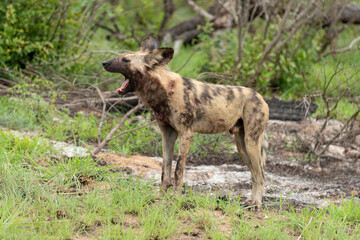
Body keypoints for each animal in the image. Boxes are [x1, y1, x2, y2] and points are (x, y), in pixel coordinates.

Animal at [102, 34, 268, 209]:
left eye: (125, 60)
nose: (104, 63)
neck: (163, 91)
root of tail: (260, 97)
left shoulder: (186, 134)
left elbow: (178, 170)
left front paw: (175, 199)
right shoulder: (167, 134)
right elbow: (165, 171)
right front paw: (160, 197)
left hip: (251, 142)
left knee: (261, 175)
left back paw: (256, 204)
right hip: (241, 145)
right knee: (255, 174)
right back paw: (251, 201)